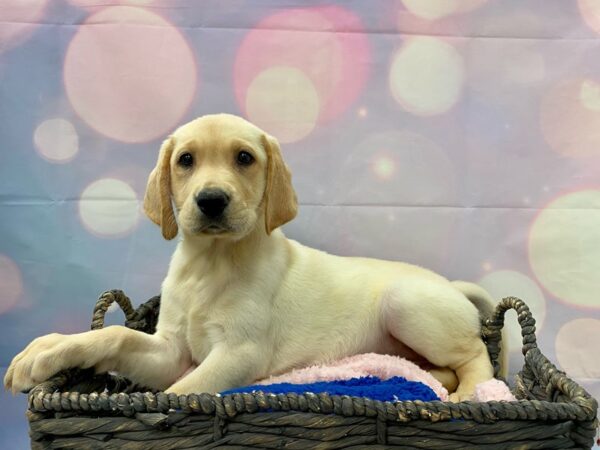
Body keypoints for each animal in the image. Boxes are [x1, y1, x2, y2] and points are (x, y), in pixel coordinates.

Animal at [4, 113, 504, 400]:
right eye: (186, 160)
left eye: (244, 158)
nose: (211, 200)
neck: (210, 263)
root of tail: (450, 286)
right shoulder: (170, 350)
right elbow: (114, 336)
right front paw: (43, 352)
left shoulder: (240, 354)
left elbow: (182, 392)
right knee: (438, 365)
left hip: (406, 303)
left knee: (476, 353)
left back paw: (471, 393)